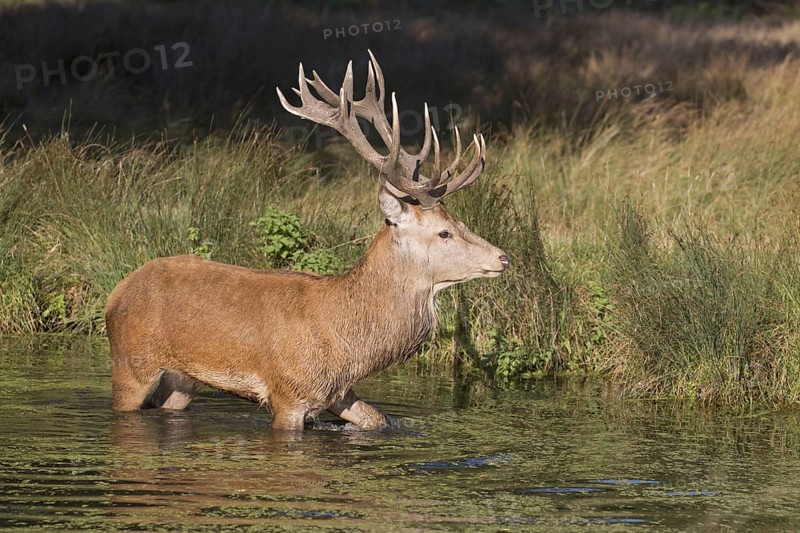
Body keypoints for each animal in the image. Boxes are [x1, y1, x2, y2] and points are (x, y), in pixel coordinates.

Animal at [105, 51, 509, 431]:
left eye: (460, 222)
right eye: (444, 232)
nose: (503, 257)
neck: (348, 341)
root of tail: (118, 291)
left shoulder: (338, 392)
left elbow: (378, 420)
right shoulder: (288, 393)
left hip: (181, 381)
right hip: (132, 363)